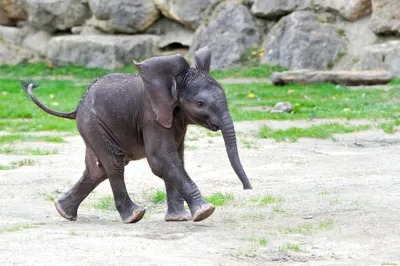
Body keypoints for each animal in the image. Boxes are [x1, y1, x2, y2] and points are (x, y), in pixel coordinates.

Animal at [21, 46, 252, 223]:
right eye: (200, 103)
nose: (247, 189)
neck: (173, 82)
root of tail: (78, 106)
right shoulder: (152, 117)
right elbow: (161, 160)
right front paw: (205, 212)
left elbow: (176, 159)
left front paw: (179, 218)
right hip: (93, 123)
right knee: (114, 163)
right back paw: (134, 216)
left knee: (98, 170)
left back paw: (64, 212)